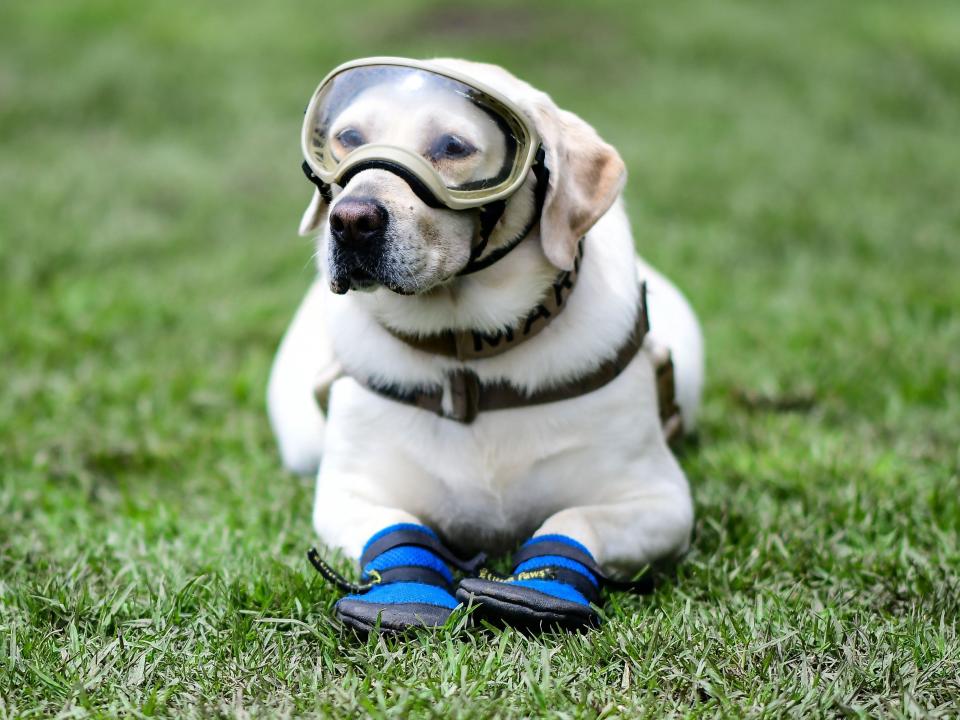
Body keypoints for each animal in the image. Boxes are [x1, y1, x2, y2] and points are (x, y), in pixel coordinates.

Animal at [266, 57, 700, 632]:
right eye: (348, 138)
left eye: (453, 146)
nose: (351, 220)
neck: (466, 355)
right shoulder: (349, 494)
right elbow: (400, 529)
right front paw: (405, 593)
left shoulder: (660, 501)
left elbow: (573, 518)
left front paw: (540, 588)